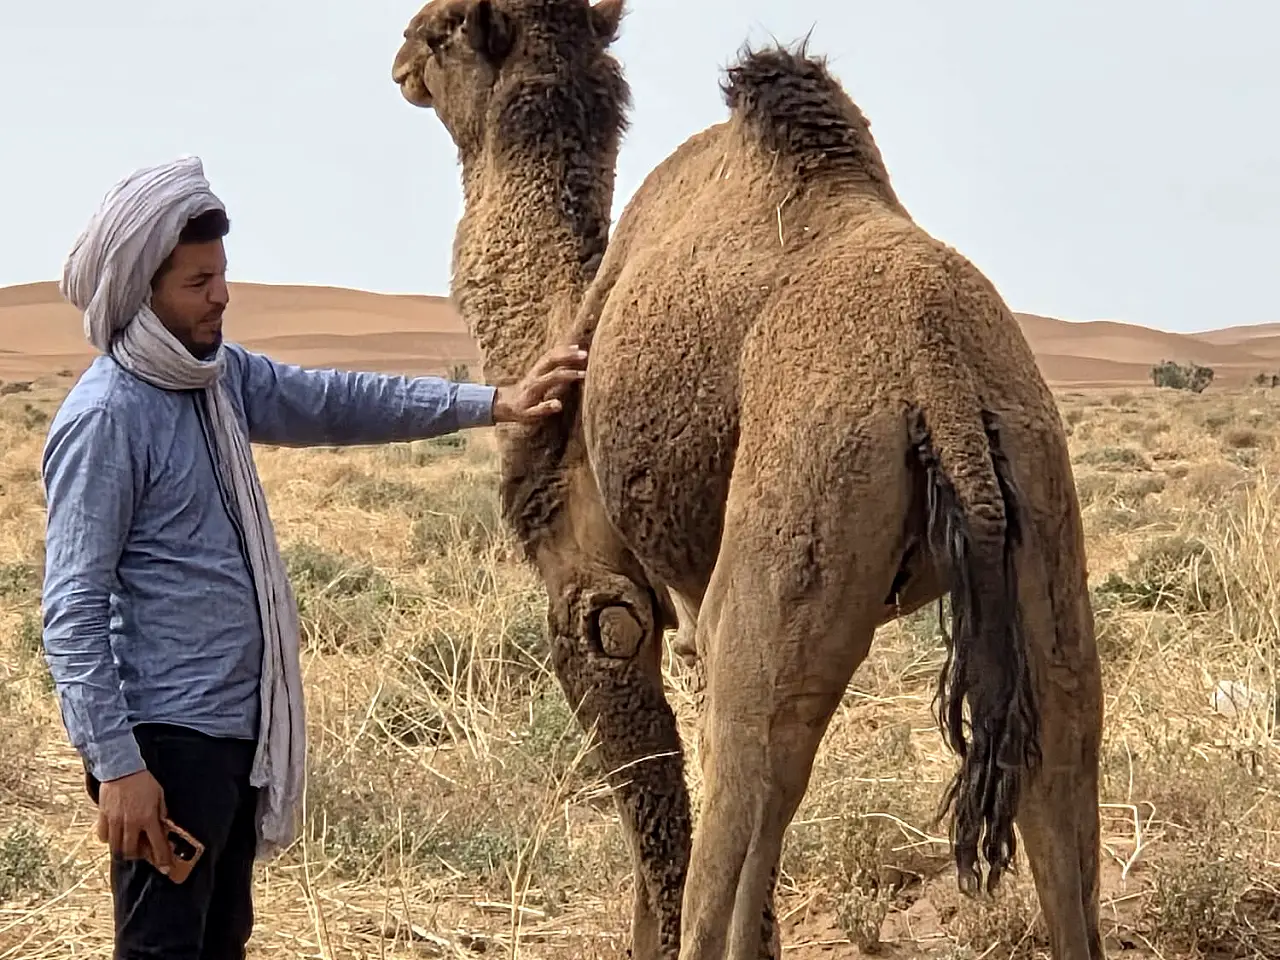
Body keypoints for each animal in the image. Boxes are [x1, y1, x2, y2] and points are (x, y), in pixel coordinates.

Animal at [391, 3, 1105, 959]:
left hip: (797, 512)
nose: (399, 53)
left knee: (751, 772)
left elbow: (654, 790)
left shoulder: (597, 586)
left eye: (442, 32)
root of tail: (941, 374)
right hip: (1037, 496)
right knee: (1058, 755)